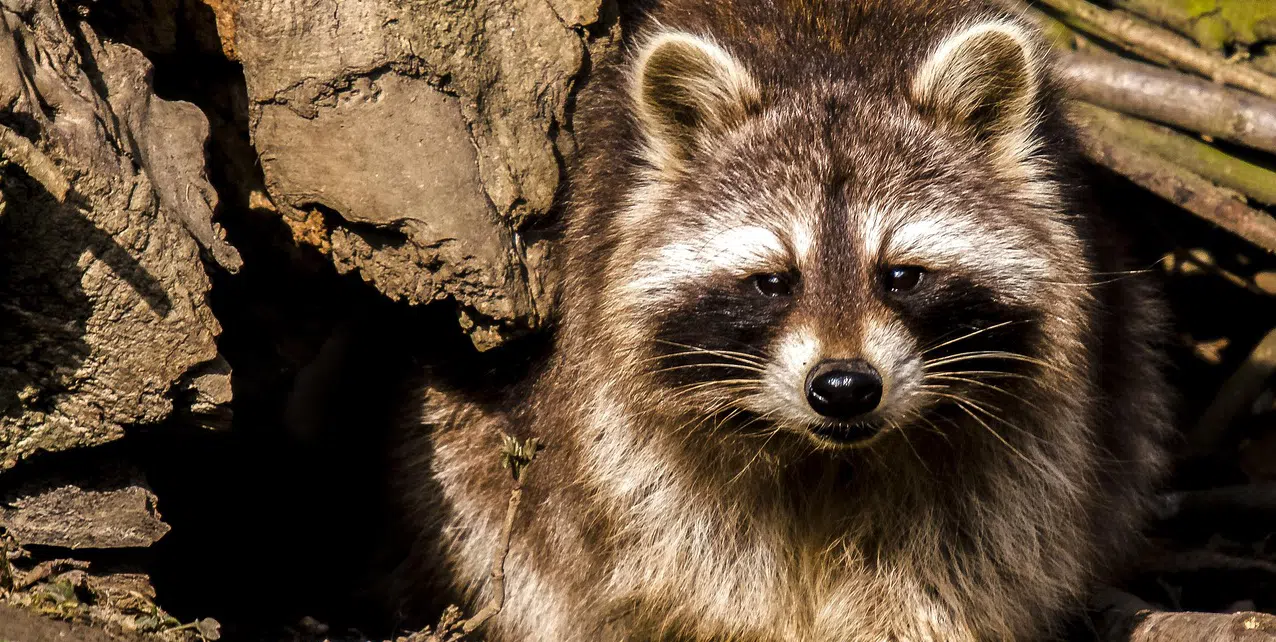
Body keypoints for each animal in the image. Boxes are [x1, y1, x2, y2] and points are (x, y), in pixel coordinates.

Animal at [392, 1, 1172, 640]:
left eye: (901, 276)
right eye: (773, 282)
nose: (844, 387)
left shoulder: (1024, 441)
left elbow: (959, 561)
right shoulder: (624, 436)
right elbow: (691, 567)